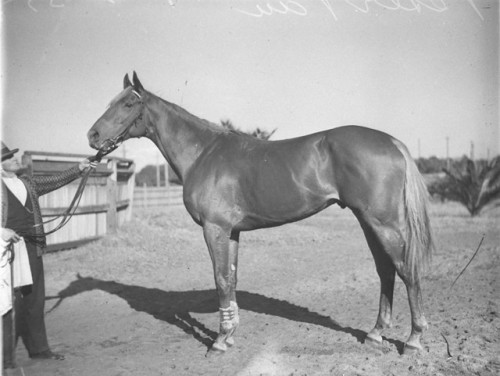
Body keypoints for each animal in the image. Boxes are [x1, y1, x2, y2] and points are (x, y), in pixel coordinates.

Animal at [88, 72, 432, 354]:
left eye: (128, 103)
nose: (92, 136)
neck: (203, 153)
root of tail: (392, 142)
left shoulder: (214, 228)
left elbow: (220, 279)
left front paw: (219, 342)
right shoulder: (232, 232)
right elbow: (231, 278)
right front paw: (229, 335)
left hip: (383, 222)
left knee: (406, 270)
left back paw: (414, 340)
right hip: (367, 221)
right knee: (386, 271)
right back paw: (375, 334)